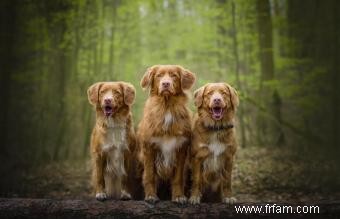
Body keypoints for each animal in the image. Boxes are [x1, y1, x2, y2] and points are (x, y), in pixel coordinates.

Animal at [137, 64, 195, 204]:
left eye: (174, 75)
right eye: (159, 76)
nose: (166, 84)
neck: (167, 107)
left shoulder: (181, 149)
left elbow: (178, 178)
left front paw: (178, 196)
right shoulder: (149, 148)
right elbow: (149, 175)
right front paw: (151, 196)